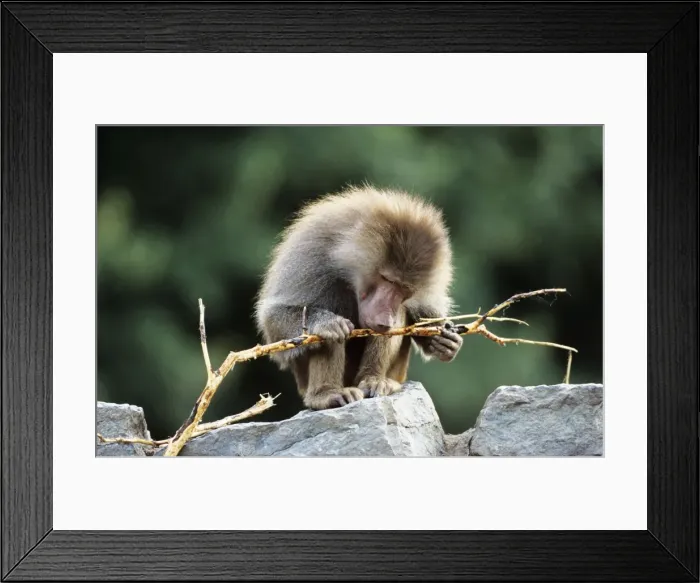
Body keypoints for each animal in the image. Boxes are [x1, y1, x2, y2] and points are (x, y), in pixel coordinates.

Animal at [254, 184, 463, 410]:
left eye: (404, 290)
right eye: (387, 279)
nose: (384, 321)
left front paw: (444, 341)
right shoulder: (312, 254)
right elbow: (274, 321)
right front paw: (326, 323)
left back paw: (375, 381)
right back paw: (327, 394)